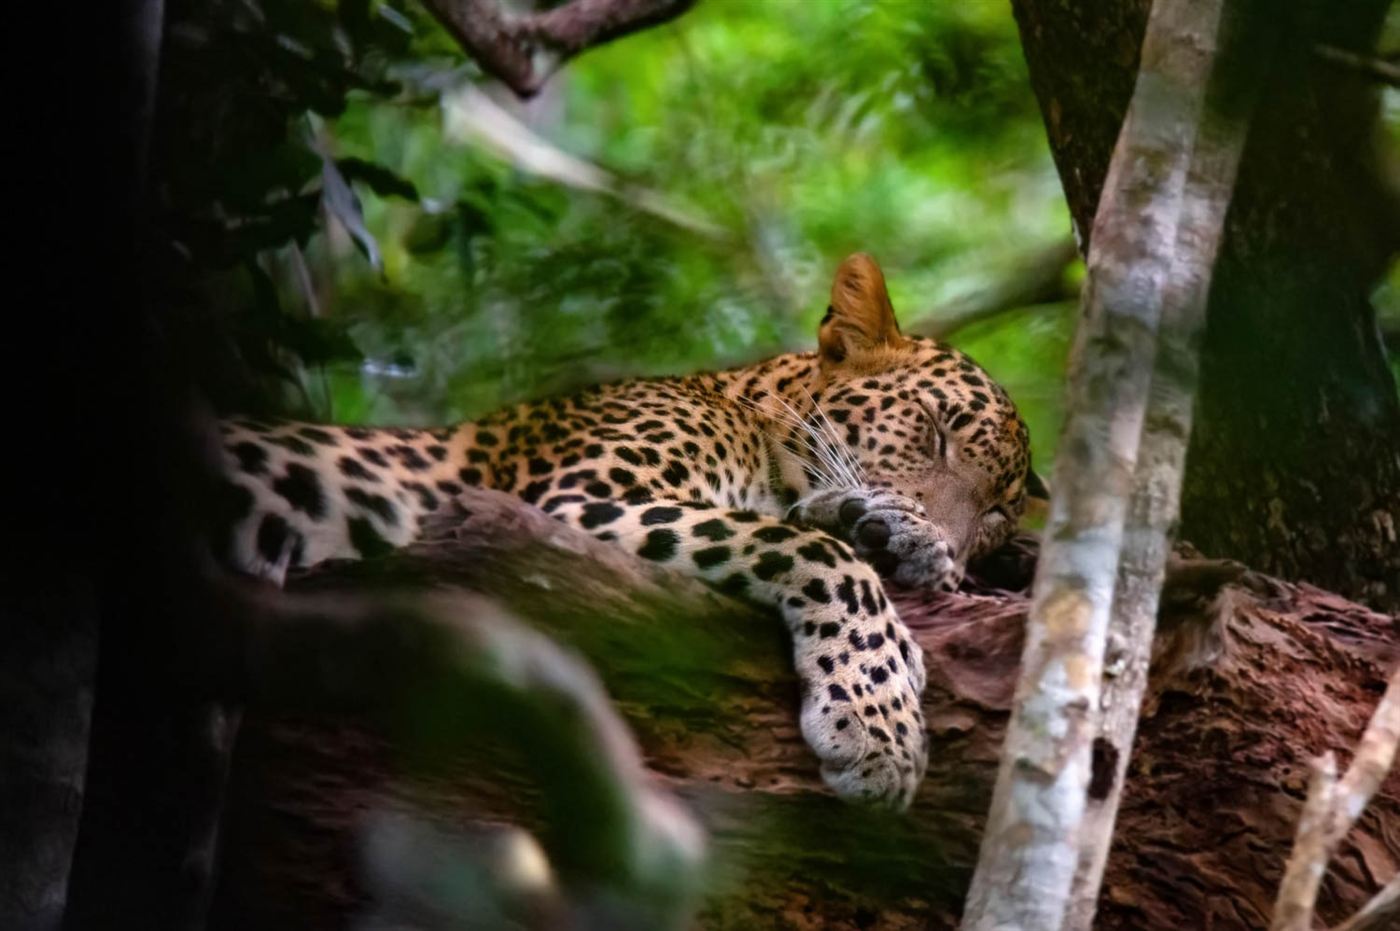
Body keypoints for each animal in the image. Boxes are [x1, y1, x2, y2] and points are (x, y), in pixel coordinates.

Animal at [215, 253, 1045, 810]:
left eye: (998, 511)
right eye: (935, 428)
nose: (951, 546)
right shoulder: (575, 501)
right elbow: (811, 550)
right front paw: (878, 721)